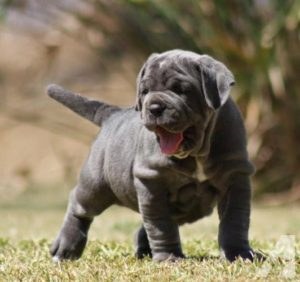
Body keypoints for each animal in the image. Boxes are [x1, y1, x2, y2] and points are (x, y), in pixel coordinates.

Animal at [48, 49, 256, 262]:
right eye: (145, 91)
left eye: (181, 89)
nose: (154, 108)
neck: (196, 152)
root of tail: (112, 115)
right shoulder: (152, 180)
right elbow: (161, 225)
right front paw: (169, 258)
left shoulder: (235, 176)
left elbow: (234, 220)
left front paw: (238, 254)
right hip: (96, 185)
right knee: (80, 206)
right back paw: (65, 248)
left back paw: (144, 252)